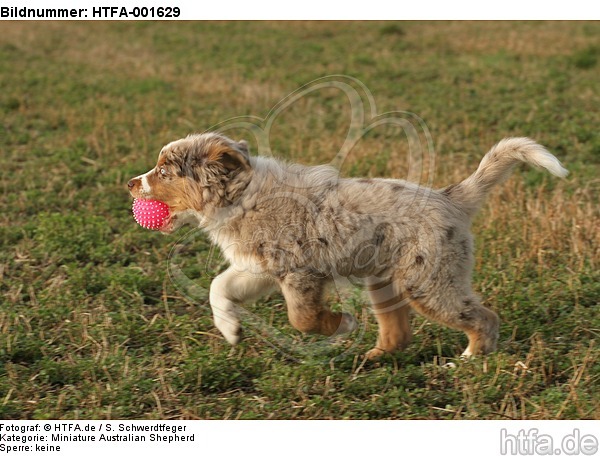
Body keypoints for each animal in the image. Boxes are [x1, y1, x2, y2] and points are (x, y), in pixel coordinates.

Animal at [126, 133, 568, 360]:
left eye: (164, 171)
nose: (129, 183)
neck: (242, 195)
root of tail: (451, 198)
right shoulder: (259, 268)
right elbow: (219, 287)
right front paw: (231, 330)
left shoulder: (300, 272)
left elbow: (302, 319)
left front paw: (342, 325)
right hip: (387, 281)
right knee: (398, 331)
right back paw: (376, 357)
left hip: (429, 282)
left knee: (484, 317)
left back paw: (471, 360)